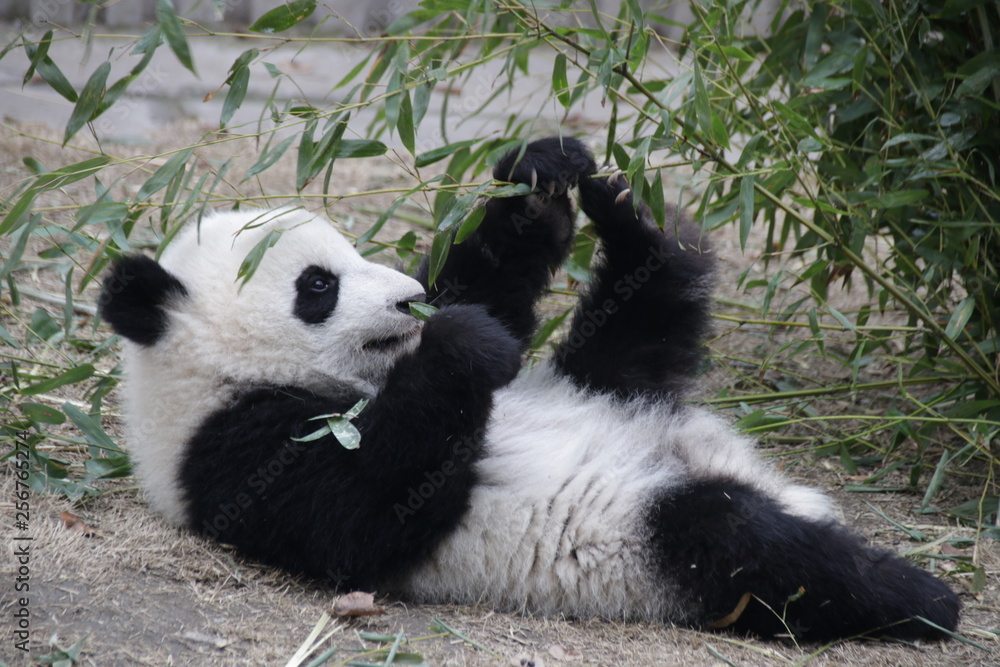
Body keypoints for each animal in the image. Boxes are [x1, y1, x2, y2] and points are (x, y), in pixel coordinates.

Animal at [100, 137, 959, 642]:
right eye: (318, 285)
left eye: (352, 253)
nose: (408, 300)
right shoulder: (231, 452)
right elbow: (362, 511)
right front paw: (462, 342)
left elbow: (490, 281)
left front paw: (540, 177)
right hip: (648, 542)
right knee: (752, 550)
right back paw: (919, 593)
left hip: (609, 380)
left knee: (647, 311)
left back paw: (631, 216)